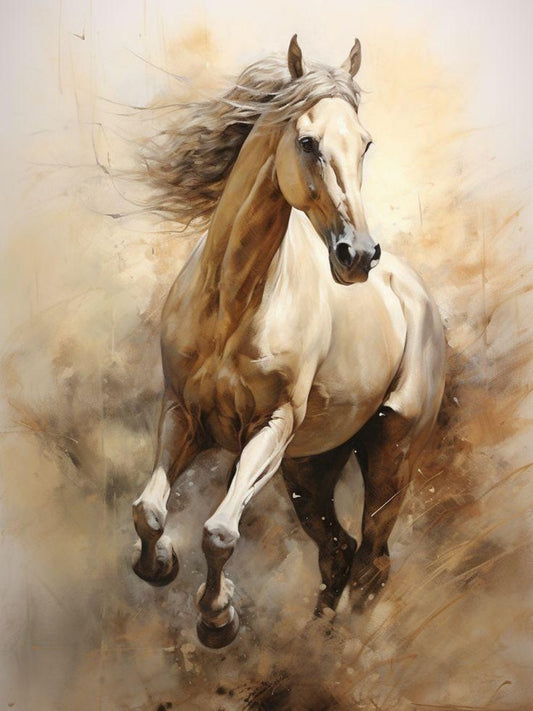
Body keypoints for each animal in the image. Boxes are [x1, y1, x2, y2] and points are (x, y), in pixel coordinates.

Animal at [131, 35, 446, 649]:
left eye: (365, 143)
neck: (232, 305)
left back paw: (342, 653)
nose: (358, 255)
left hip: (391, 455)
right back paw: (315, 639)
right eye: (308, 141)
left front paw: (218, 618)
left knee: (373, 561)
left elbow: (220, 532)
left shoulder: (272, 427)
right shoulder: (182, 413)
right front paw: (157, 565)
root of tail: (415, 296)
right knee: (338, 552)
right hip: (311, 468)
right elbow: (150, 511)